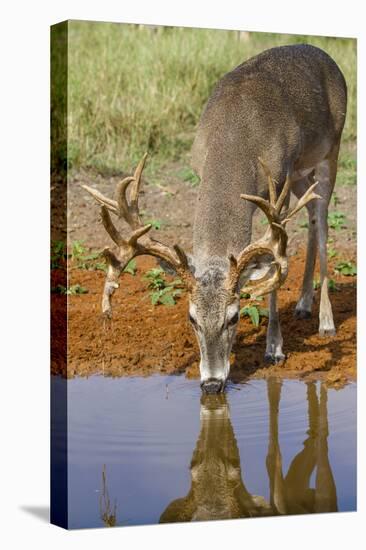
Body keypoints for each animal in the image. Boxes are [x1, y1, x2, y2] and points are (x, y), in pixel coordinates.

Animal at [83, 45, 346, 394]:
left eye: (234, 317)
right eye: (191, 318)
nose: (211, 383)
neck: (234, 139)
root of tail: (324, 54)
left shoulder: (279, 182)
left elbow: (274, 263)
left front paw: (274, 348)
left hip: (331, 150)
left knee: (323, 223)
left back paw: (326, 322)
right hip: (304, 174)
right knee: (314, 218)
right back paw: (303, 304)